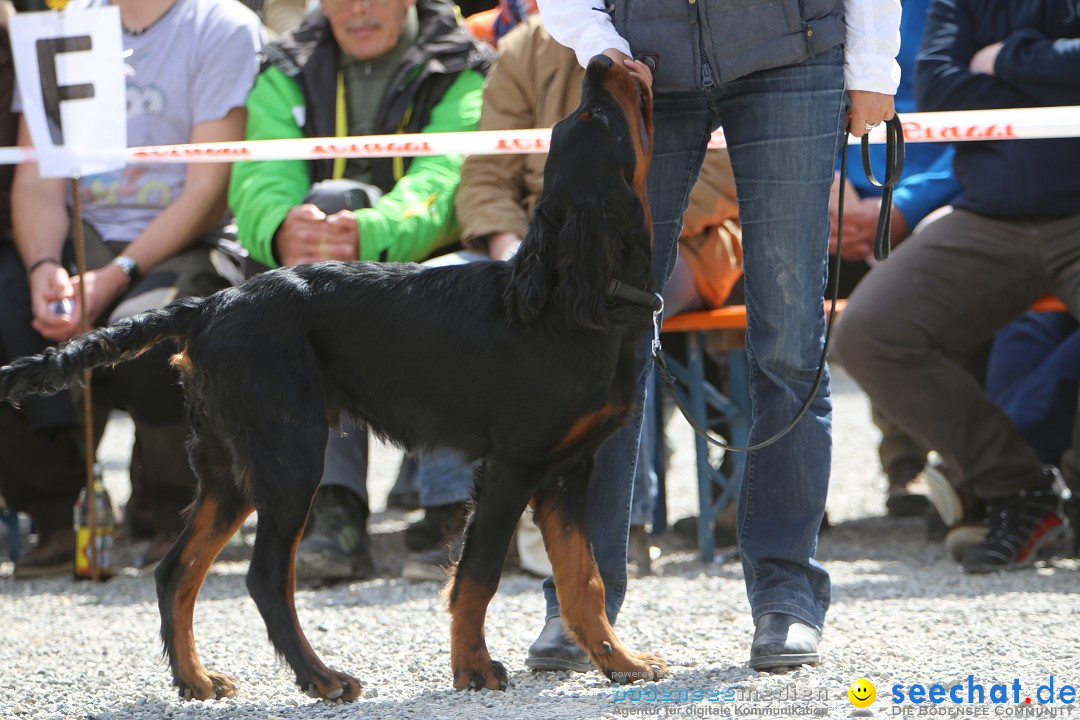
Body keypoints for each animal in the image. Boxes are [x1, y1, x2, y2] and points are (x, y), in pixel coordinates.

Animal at [0, 55, 665, 699]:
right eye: (594, 117)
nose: (603, 60)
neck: (570, 299)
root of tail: (212, 304)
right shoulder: (514, 464)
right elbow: (479, 574)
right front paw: (473, 669)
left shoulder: (564, 471)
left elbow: (584, 579)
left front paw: (621, 662)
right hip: (291, 454)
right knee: (265, 576)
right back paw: (320, 678)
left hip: (233, 466)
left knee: (176, 570)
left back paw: (196, 680)